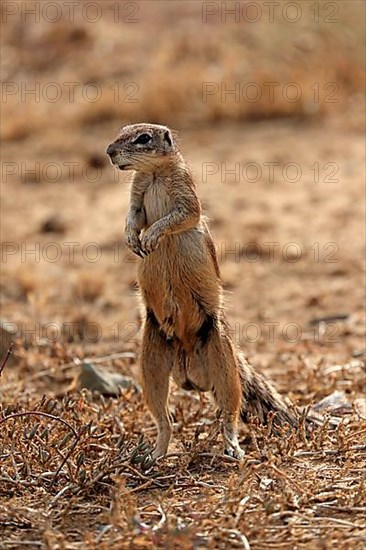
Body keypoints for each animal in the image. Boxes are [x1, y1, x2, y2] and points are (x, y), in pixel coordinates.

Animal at [106, 123, 294, 464]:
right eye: (121, 130)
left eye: (143, 138)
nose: (109, 152)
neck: (154, 173)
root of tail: (187, 365)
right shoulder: (136, 194)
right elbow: (133, 216)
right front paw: (131, 239)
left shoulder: (187, 194)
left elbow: (180, 216)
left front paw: (152, 237)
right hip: (151, 362)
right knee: (163, 418)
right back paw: (154, 455)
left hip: (221, 359)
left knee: (229, 412)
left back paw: (232, 448)